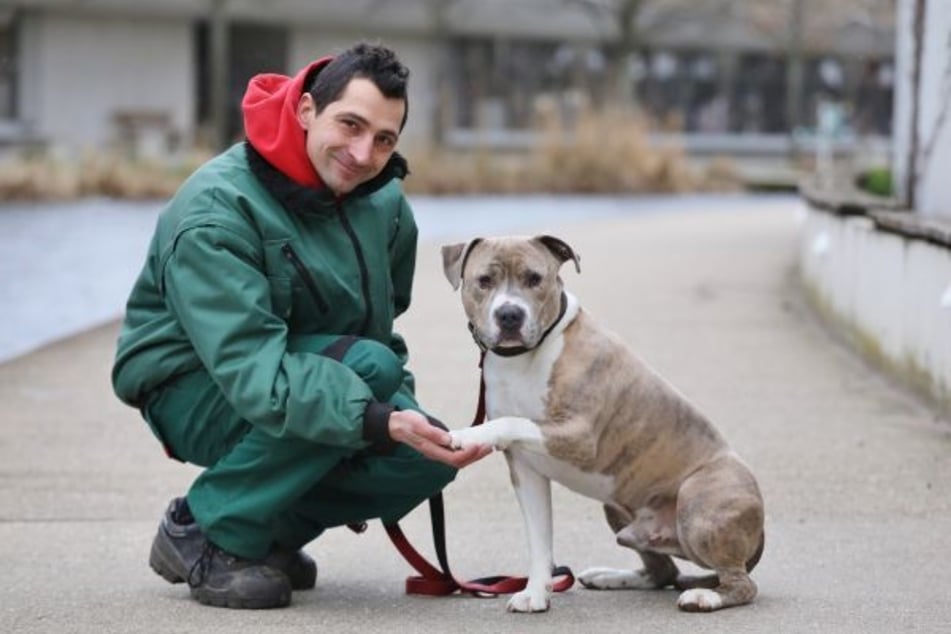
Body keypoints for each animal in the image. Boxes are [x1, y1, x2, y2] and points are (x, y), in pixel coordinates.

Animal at [440, 235, 768, 608]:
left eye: (535, 278)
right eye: (484, 280)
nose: (510, 314)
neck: (522, 359)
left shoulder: (578, 436)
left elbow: (512, 421)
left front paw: (467, 435)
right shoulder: (526, 469)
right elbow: (539, 541)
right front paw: (536, 594)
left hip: (698, 506)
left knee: (741, 583)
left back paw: (705, 597)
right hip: (619, 511)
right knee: (663, 572)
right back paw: (610, 577)